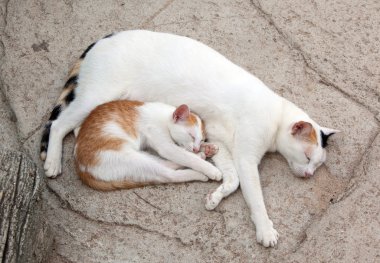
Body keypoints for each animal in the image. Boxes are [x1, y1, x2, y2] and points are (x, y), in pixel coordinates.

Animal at [74, 100, 221, 191]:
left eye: (201, 140)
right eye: (191, 135)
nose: (197, 148)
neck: (164, 117)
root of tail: (81, 169)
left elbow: (184, 152)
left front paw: (207, 147)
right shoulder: (165, 144)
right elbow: (187, 157)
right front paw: (210, 169)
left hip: (136, 156)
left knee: (164, 164)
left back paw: (201, 155)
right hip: (124, 156)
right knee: (166, 175)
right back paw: (199, 173)